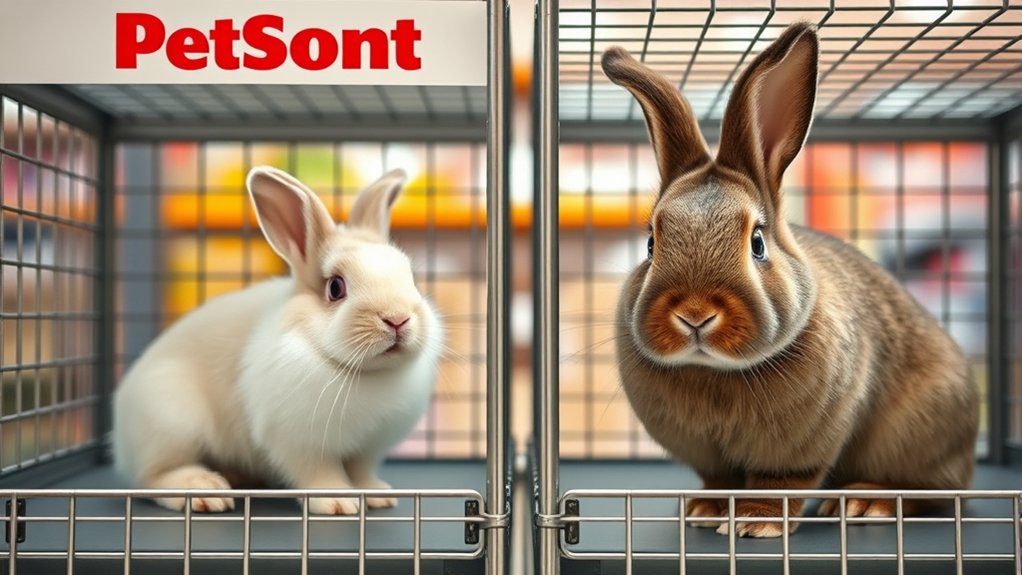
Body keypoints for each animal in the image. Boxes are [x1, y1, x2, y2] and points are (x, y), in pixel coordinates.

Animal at [113, 166, 442, 515]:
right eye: (335, 288)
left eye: (411, 278)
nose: (398, 318)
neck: (364, 373)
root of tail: (120, 437)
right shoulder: (301, 443)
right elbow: (320, 474)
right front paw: (339, 502)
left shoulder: (366, 450)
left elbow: (361, 472)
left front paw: (377, 495)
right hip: (173, 423)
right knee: (152, 477)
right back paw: (206, 490)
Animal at [602, 22, 978, 538]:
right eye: (652, 244)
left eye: (758, 242)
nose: (695, 314)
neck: (715, 371)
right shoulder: (713, 461)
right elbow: (719, 481)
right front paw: (706, 511)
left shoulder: (796, 453)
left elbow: (779, 484)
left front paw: (753, 524)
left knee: (932, 493)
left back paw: (866, 502)